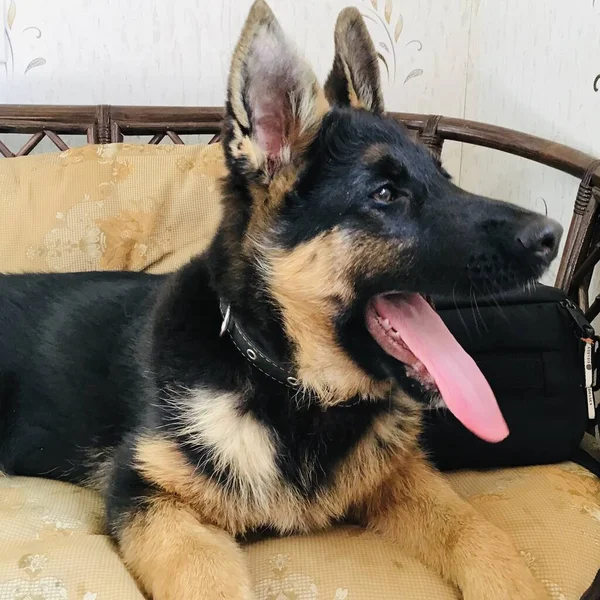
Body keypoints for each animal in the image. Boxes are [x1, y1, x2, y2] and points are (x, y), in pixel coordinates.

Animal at [0, 1, 564, 600]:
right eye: (385, 195)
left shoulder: (399, 479)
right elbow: (209, 580)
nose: (551, 237)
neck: (293, 387)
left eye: (445, 179)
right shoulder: (150, 497)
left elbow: (479, 531)